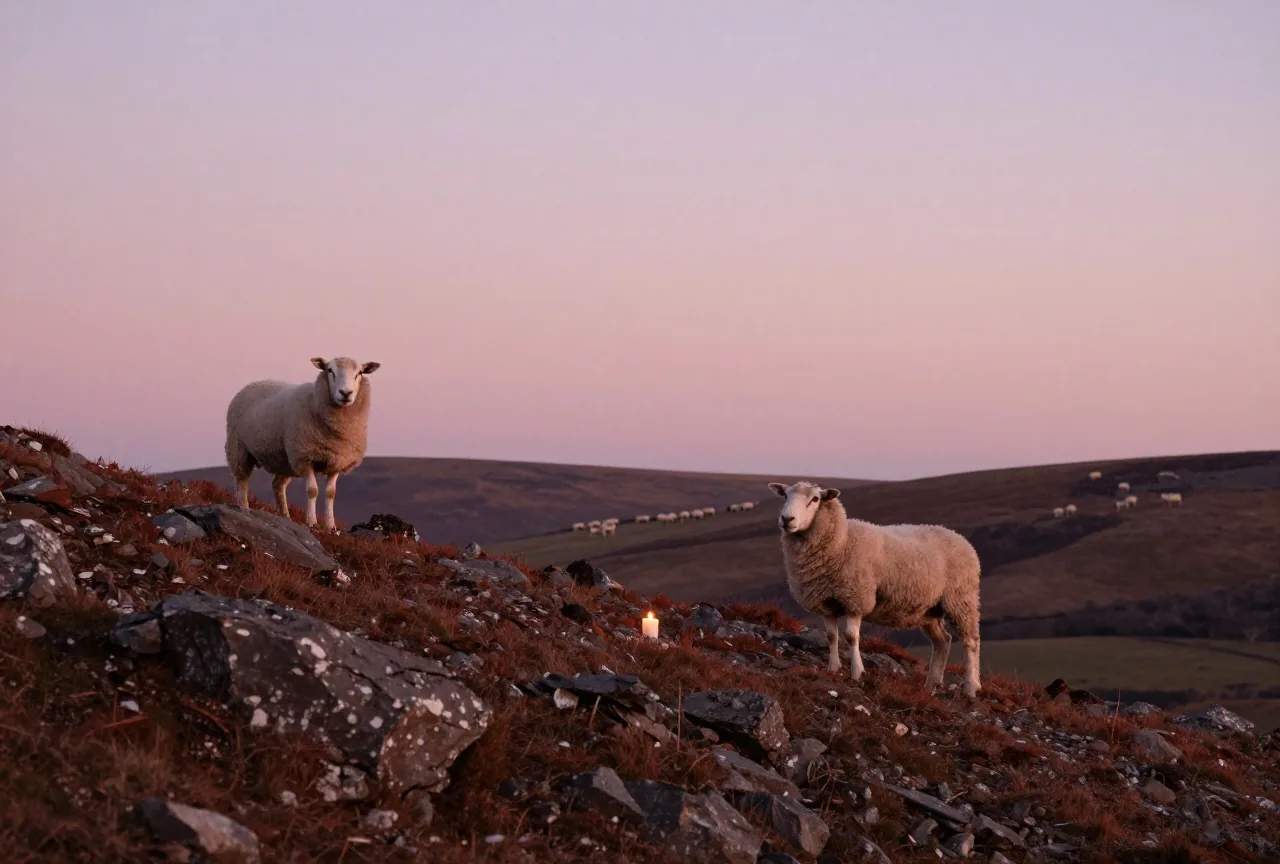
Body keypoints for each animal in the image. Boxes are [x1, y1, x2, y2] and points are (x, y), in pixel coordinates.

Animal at [225, 356, 380, 532]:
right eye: (330, 370)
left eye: (359, 373)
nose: (346, 393)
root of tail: (255, 382)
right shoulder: (305, 458)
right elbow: (313, 491)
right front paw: (311, 521)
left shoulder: (337, 461)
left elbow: (331, 493)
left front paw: (330, 525)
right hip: (239, 449)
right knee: (242, 482)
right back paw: (244, 510)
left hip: (285, 460)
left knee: (277, 485)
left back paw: (285, 516)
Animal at [769, 481, 982, 697]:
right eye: (785, 496)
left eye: (815, 499)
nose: (787, 519)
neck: (842, 539)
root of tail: (959, 537)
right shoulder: (826, 602)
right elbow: (831, 636)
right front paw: (833, 669)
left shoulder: (856, 598)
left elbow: (851, 636)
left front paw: (857, 672)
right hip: (929, 610)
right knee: (943, 641)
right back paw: (930, 685)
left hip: (961, 599)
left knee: (971, 642)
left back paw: (971, 687)